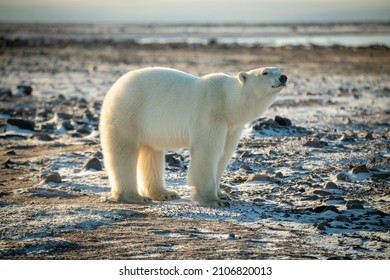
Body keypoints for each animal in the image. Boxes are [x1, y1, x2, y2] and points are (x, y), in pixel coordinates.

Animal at [100, 65, 286, 206]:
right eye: (265, 72)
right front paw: (213, 200)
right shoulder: (211, 114)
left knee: (151, 153)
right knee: (123, 151)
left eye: (278, 69)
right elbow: (208, 152)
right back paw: (134, 196)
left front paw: (222, 194)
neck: (228, 102)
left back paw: (165, 193)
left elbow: (224, 155)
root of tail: (114, 88)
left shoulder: (232, 127)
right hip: (129, 112)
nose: (283, 77)